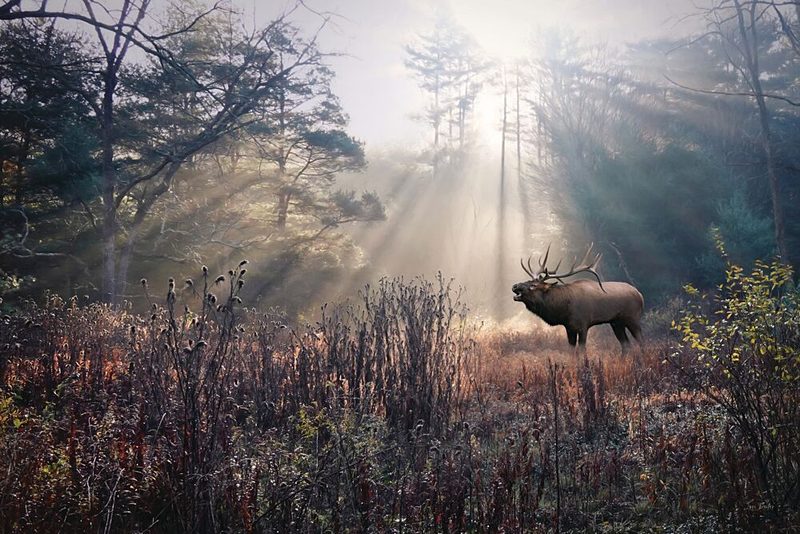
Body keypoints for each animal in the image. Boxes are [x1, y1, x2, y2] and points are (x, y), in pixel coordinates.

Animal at [511, 244, 644, 356]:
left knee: (641, 341)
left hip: (633, 318)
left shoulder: (583, 325)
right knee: (626, 344)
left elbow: (581, 350)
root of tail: (640, 295)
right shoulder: (569, 327)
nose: (515, 286)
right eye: (528, 281)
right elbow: (571, 351)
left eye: (533, 286)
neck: (563, 309)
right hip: (616, 322)